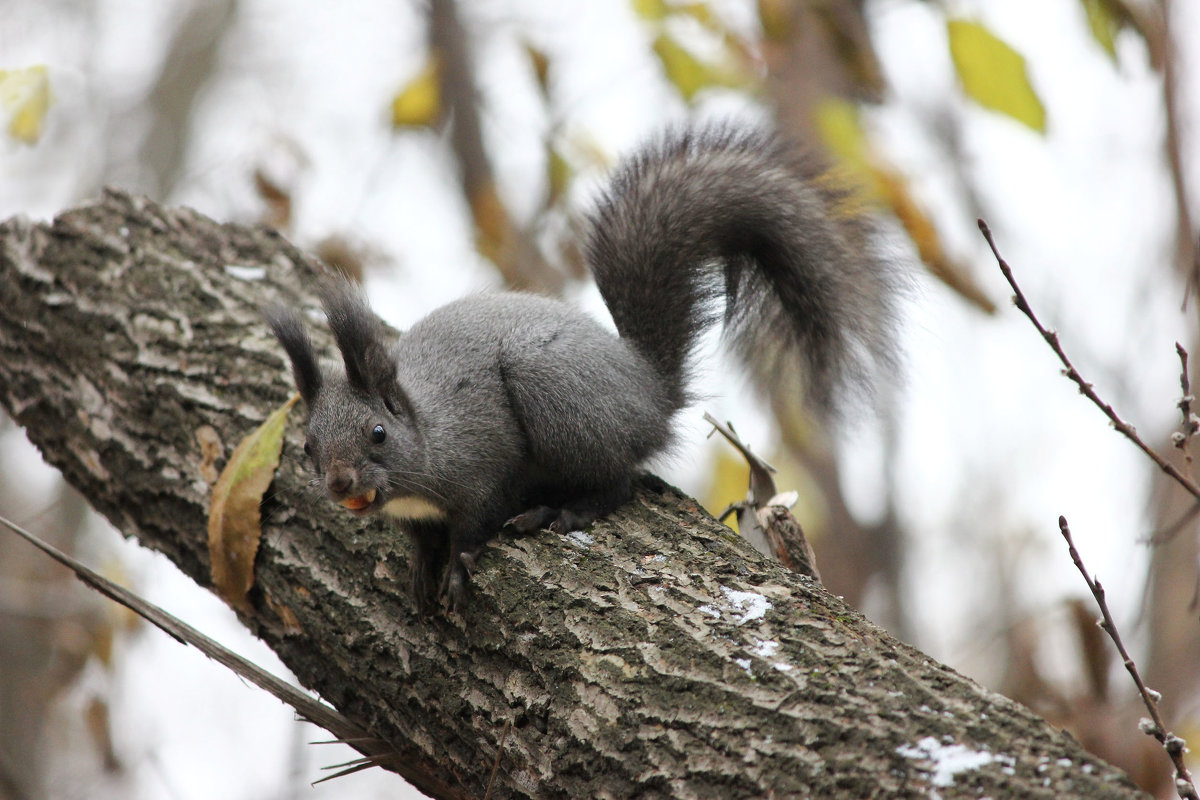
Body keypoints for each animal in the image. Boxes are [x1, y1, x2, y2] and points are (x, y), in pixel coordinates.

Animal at [265, 125, 902, 614]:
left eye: (378, 433)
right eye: (307, 446)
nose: (339, 483)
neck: (426, 430)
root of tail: (647, 386)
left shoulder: (484, 463)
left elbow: (476, 522)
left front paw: (457, 567)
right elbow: (421, 540)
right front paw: (422, 568)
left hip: (555, 398)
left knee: (617, 480)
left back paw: (560, 510)